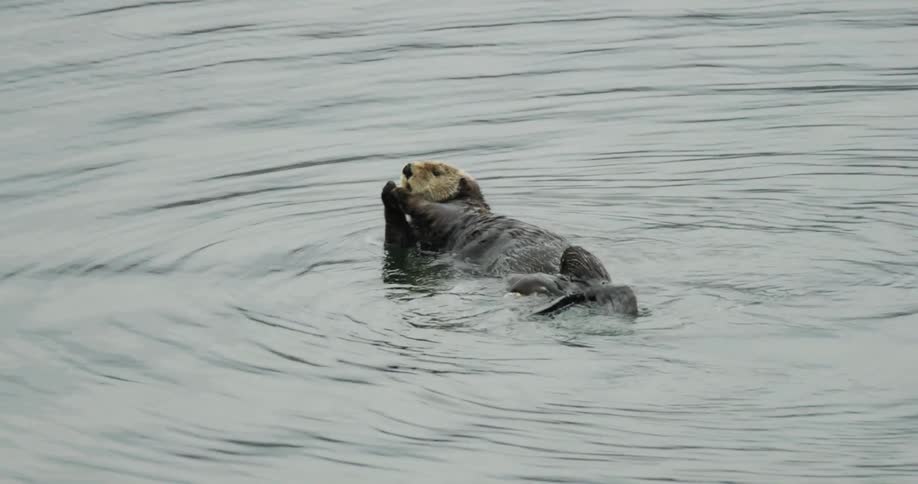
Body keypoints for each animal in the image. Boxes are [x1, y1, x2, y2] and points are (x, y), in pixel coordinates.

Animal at [381, 160, 638, 317]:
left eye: (437, 172)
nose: (407, 168)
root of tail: (580, 289)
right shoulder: (423, 243)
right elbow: (397, 240)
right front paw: (388, 189)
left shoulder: (452, 212)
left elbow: (426, 207)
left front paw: (399, 191)